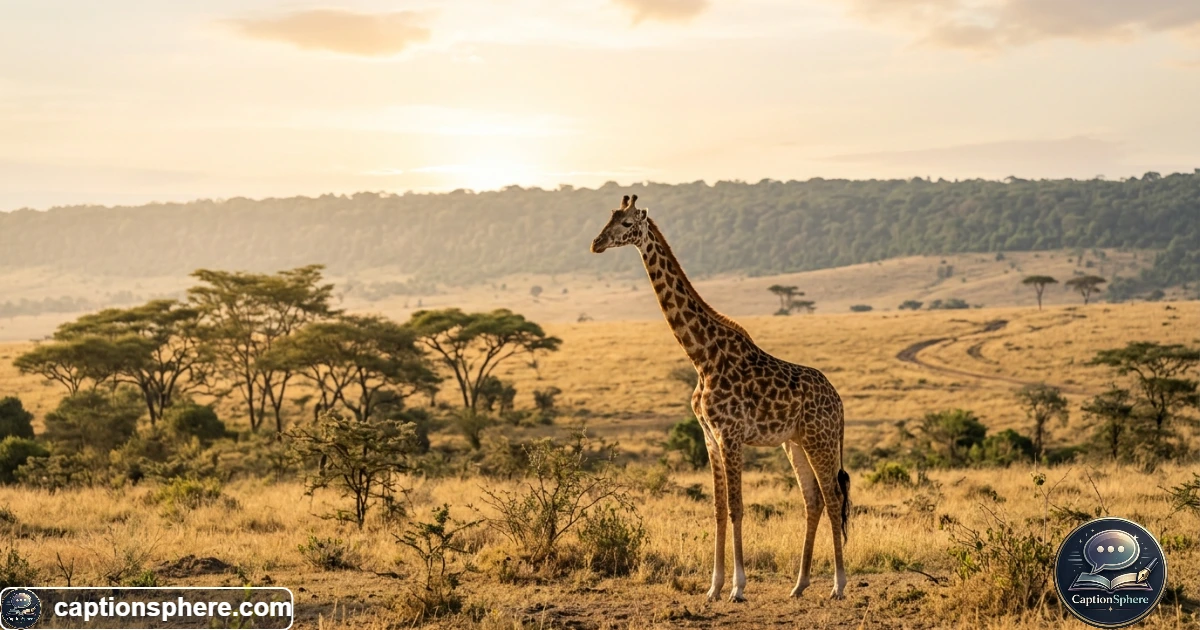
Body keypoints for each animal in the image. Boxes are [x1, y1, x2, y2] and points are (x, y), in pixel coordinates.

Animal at [590, 194, 850, 602]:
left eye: (627, 223)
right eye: (610, 217)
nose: (596, 243)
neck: (701, 357)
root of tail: (839, 403)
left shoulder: (731, 434)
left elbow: (737, 508)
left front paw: (738, 587)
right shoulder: (710, 437)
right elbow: (717, 508)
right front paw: (713, 587)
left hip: (819, 439)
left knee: (834, 498)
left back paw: (839, 585)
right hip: (794, 443)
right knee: (815, 501)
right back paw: (799, 585)